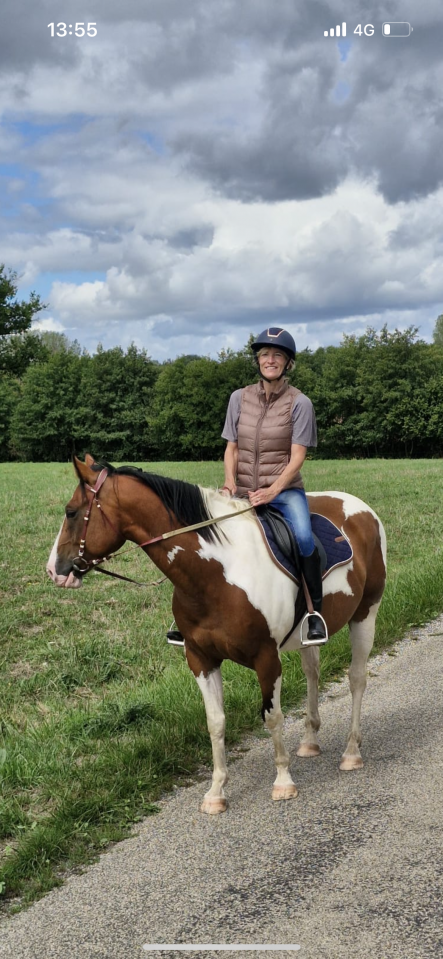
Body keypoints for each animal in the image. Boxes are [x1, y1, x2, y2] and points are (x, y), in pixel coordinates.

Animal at [47, 455, 387, 815]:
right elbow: (216, 722)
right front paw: (216, 792)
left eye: (71, 512)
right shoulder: (201, 658)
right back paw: (309, 742)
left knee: (357, 679)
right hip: (308, 635)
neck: (218, 573)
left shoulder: (267, 657)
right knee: (313, 673)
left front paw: (283, 782)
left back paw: (351, 752)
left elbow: (273, 717)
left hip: (366, 614)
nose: (54, 571)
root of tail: (362, 508)